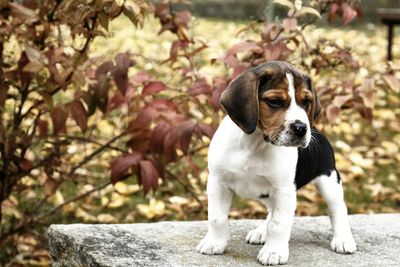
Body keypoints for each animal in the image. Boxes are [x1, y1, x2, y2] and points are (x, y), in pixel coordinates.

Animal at [197, 61, 356, 266]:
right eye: (274, 102)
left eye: (306, 102)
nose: (301, 128)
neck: (255, 144)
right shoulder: (218, 182)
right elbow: (217, 218)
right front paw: (215, 243)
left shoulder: (283, 191)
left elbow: (279, 224)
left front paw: (274, 251)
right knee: (271, 211)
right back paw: (261, 232)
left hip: (329, 181)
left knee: (338, 209)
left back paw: (343, 239)